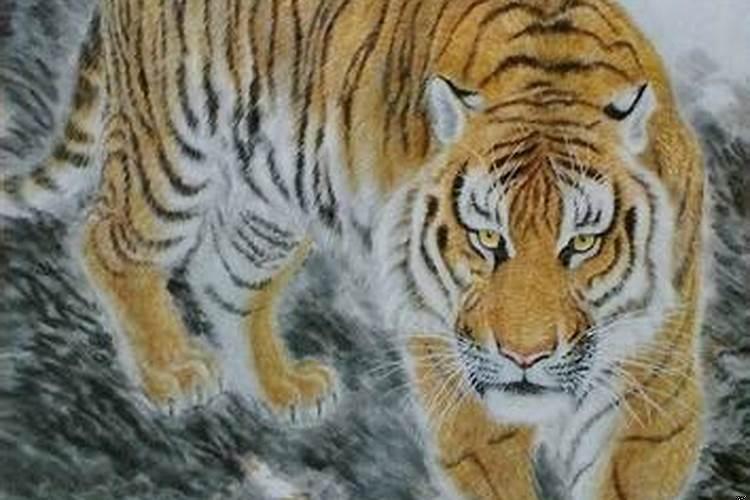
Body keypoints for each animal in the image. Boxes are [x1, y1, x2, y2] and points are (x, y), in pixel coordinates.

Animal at [0, 0, 704, 498]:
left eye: (582, 242)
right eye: (486, 238)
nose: (523, 357)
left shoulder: (656, 401)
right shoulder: (464, 390)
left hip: (266, 200)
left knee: (223, 280)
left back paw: (284, 388)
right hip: (172, 149)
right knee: (110, 243)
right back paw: (173, 371)